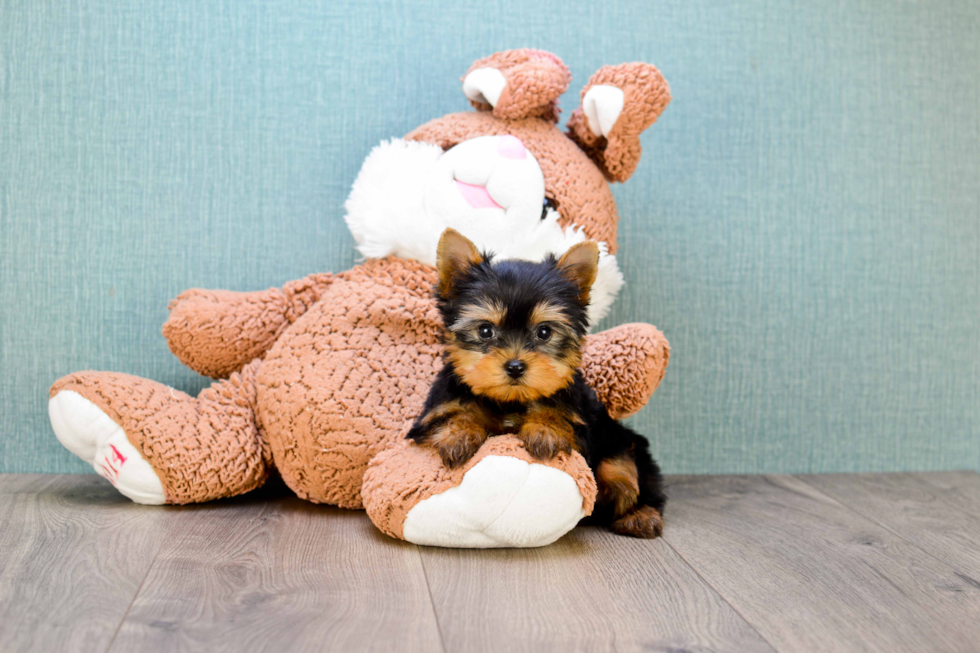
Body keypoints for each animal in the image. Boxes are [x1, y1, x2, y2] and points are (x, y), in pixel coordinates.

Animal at [406, 228, 668, 536]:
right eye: (485, 331)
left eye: (544, 332)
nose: (515, 366)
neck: (509, 401)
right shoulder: (432, 414)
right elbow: (454, 414)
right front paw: (459, 432)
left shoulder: (582, 425)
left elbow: (556, 413)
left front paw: (545, 430)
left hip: (624, 441)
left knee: (629, 470)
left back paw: (639, 513)